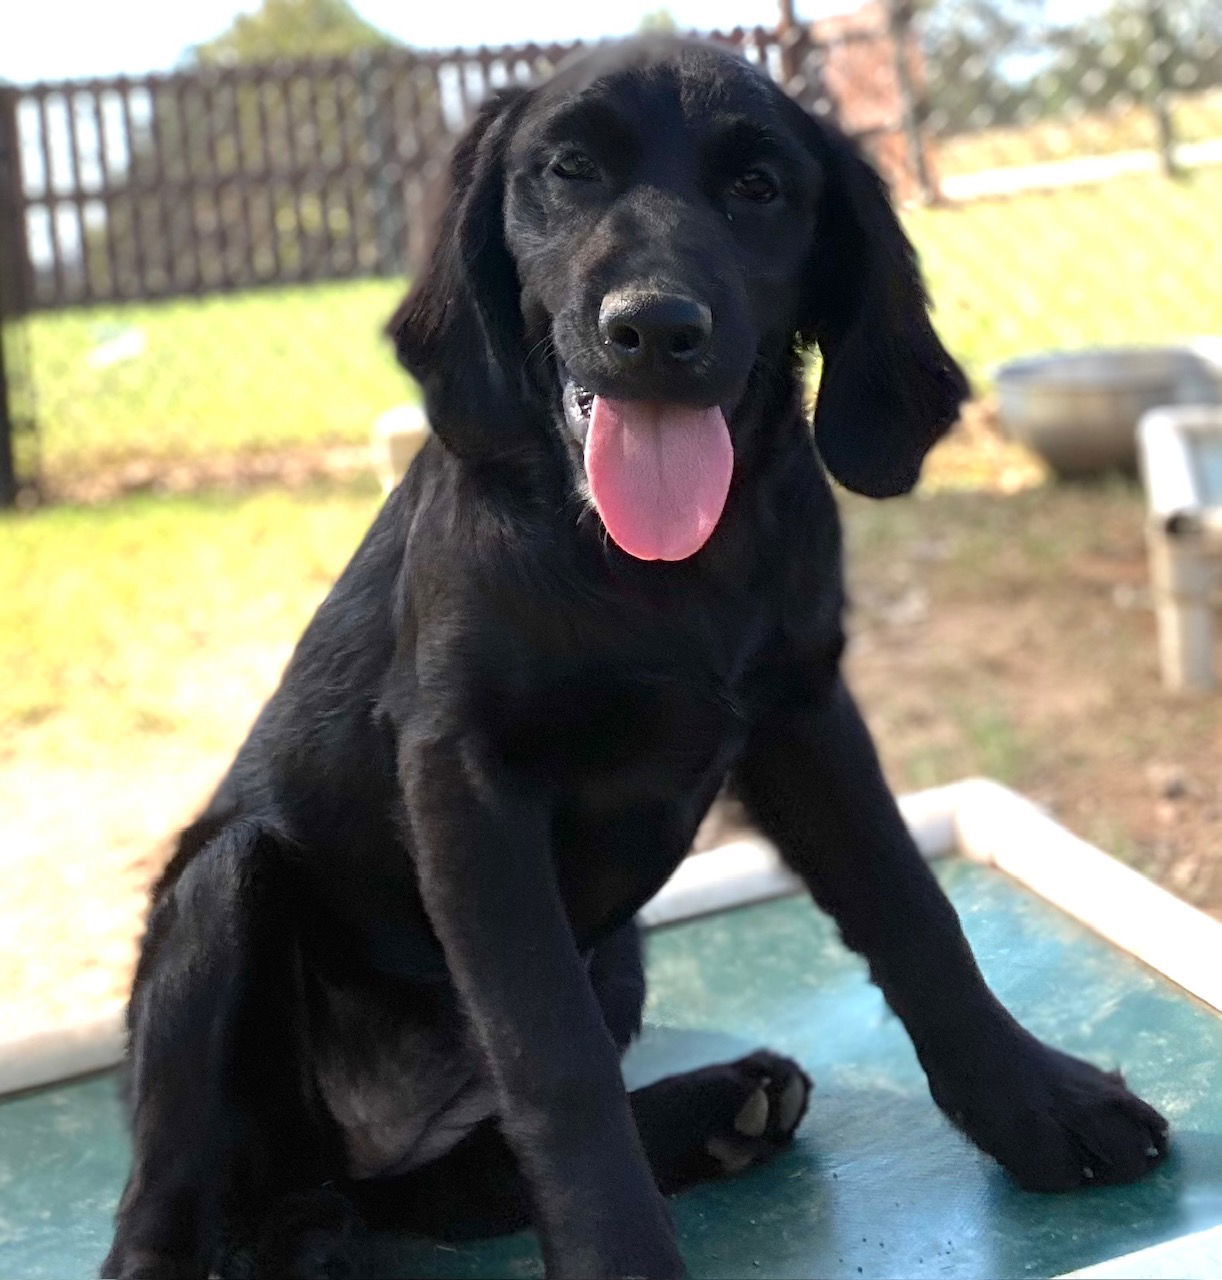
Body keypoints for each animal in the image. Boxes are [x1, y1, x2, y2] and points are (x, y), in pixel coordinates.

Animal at [104, 40, 1166, 1280]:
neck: (653, 569)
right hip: (220, 892)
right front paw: (619, 1250)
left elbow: (914, 916)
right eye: (568, 170)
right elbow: (551, 1056)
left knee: (453, 1183)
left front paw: (1040, 1105)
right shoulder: (467, 778)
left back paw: (718, 1109)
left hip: (617, 953)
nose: (654, 328)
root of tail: (345, 1170)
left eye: (758, 187)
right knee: (164, 1202)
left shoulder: (804, 712)